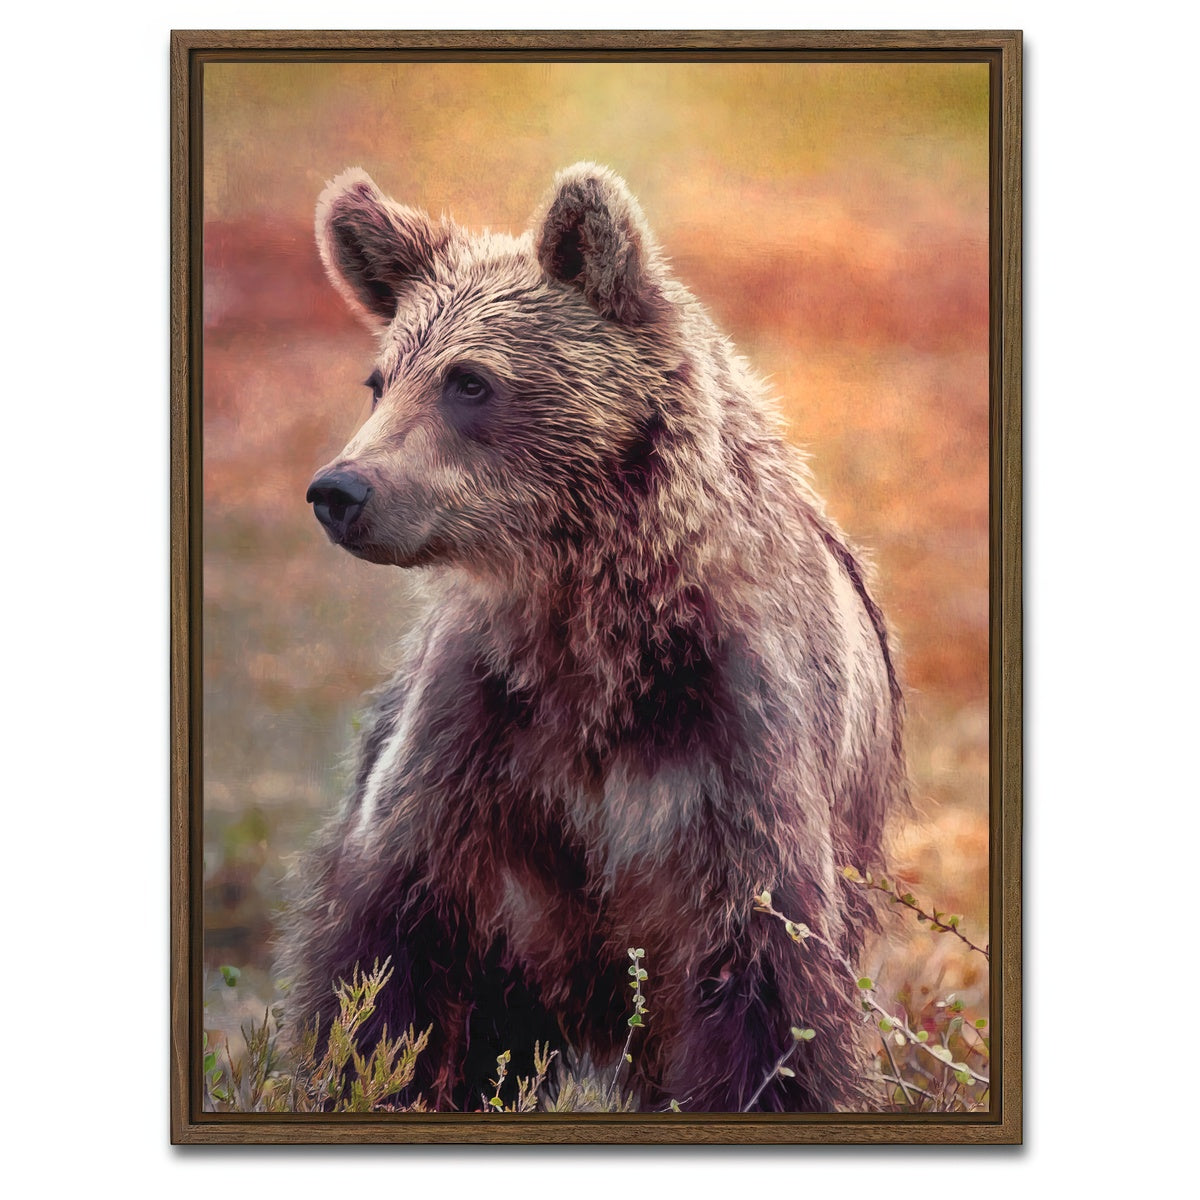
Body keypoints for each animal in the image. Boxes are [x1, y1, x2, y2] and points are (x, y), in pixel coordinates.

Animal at [278, 162, 906, 1113]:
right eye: (380, 380)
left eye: (470, 381)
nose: (341, 490)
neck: (594, 630)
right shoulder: (478, 740)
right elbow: (388, 965)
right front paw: (370, 1073)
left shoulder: (733, 748)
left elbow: (767, 996)